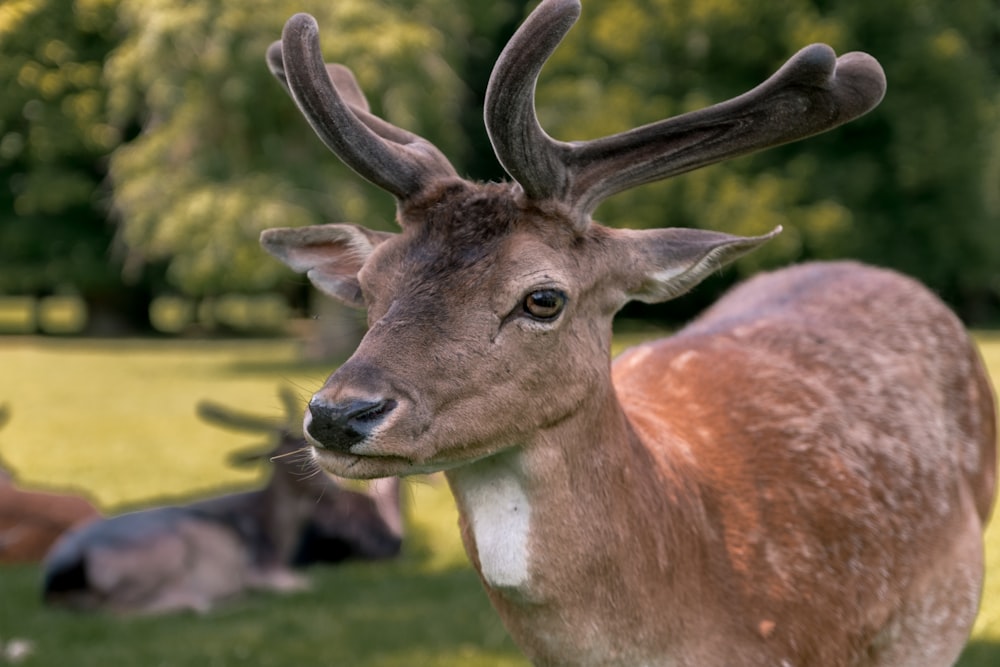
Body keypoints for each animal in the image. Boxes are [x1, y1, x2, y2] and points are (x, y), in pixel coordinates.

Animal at [43, 392, 402, 616]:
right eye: (291, 458)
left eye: (307, 447)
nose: (334, 488)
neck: (276, 535)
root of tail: (55, 578)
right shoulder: (264, 568)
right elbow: (307, 584)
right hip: (162, 552)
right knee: (127, 609)